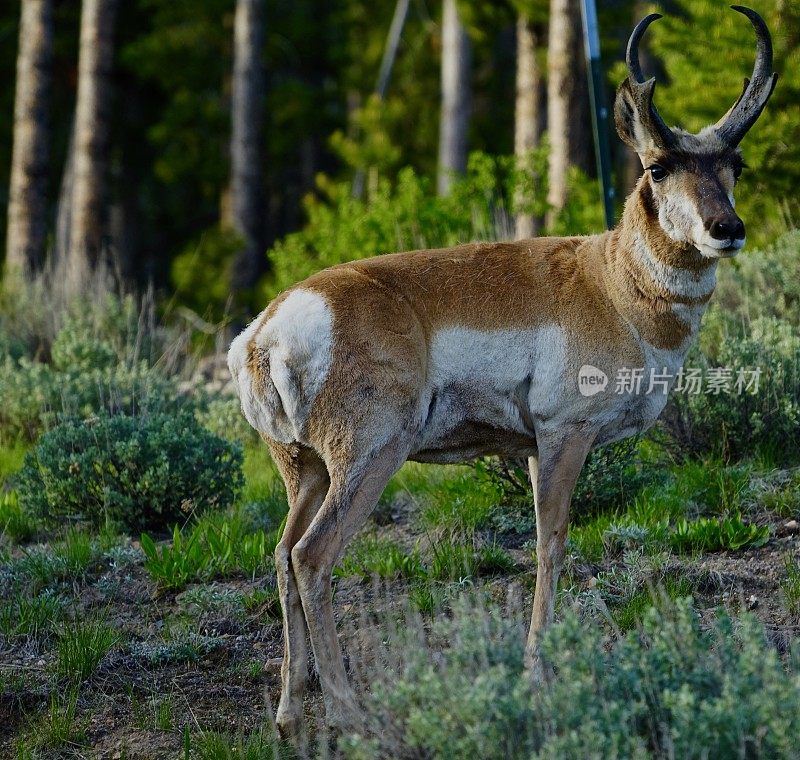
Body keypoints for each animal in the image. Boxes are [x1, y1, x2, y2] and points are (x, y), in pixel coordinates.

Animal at [227, 4, 776, 732]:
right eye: (659, 167)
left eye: (733, 162)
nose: (726, 228)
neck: (612, 280)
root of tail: (273, 326)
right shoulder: (565, 436)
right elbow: (552, 544)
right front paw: (537, 670)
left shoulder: (534, 448)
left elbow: (548, 545)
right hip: (371, 458)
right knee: (312, 557)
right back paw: (348, 709)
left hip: (304, 471)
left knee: (281, 556)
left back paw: (292, 711)